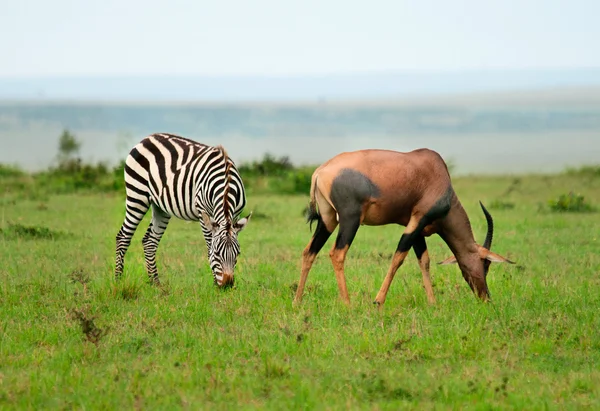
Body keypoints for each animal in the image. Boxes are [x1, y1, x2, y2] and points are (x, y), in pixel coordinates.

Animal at [114, 134, 251, 288]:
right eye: (216, 253)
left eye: (238, 253)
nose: (227, 285)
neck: (226, 183)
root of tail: (147, 138)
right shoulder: (202, 212)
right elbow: (209, 246)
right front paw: (215, 283)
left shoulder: (236, 215)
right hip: (137, 195)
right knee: (123, 237)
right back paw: (118, 281)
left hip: (160, 207)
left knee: (149, 242)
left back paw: (156, 283)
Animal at [292, 148, 512, 306]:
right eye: (486, 264)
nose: (486, 297)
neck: (437, 172)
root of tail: (320, 172)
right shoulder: (419, 219)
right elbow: (399, 257)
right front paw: (378, 301)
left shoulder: (417, 228)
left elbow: (424, 260)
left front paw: (433, 303)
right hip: (350, 219)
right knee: (337, 253)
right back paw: (347, 304)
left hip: (328, 219)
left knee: (309, 251)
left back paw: (297, 301)